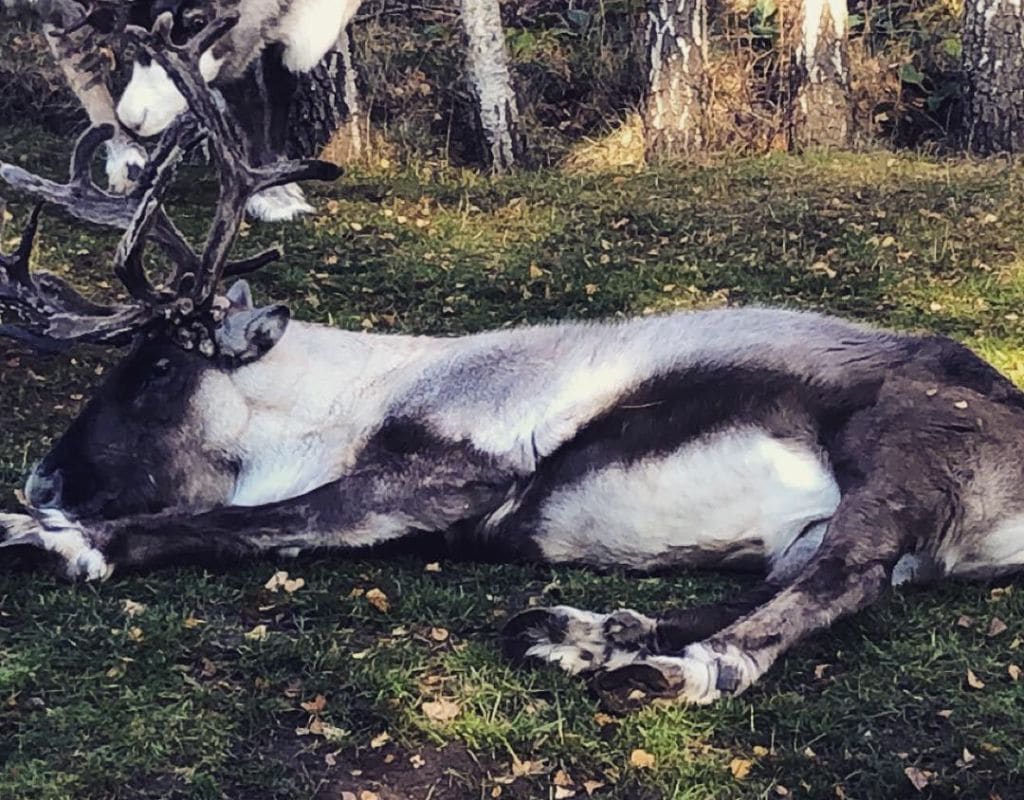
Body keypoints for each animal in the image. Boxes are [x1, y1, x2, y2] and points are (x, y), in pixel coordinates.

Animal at [3, 14, 1024, 714]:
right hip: (827, 527)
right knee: (797, 577)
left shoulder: (449, 478)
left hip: (893, 460)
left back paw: (669, 669)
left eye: (156, 368)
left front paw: (58, 540)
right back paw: (579, 635)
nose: (41, 479)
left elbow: (244, 521)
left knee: (843, 578)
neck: (343, 399)